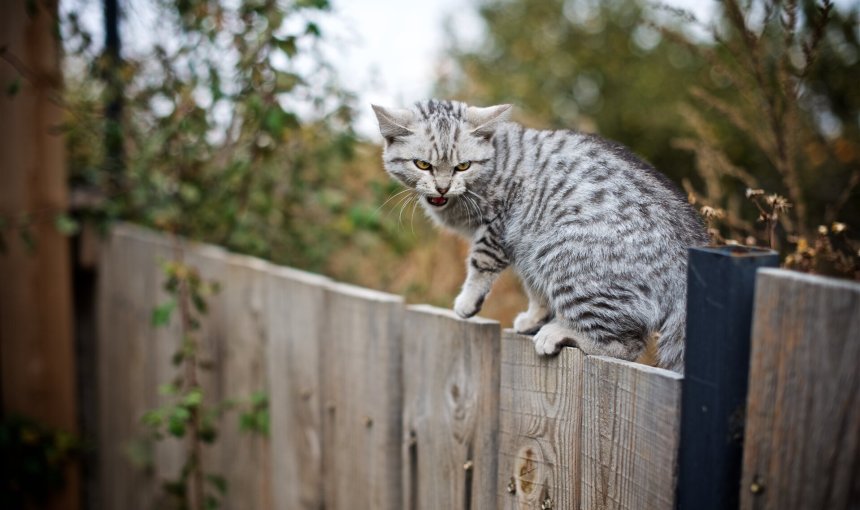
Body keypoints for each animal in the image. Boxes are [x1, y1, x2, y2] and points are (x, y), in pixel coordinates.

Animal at [372, 99, 708, 372]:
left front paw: (468, 301)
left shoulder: (499, 226)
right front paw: (534, 317)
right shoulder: (524, 244)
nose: (442, 187)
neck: (497, 157)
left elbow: (480, 265)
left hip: (565, 258)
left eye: (463, 166)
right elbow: (534, 289)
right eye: (423, 165)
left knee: (626, 344)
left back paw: (560, 333)